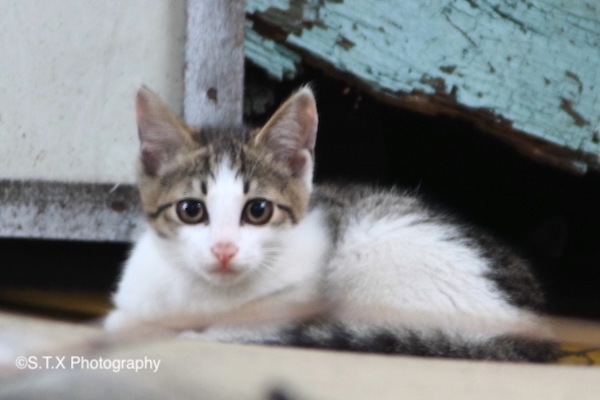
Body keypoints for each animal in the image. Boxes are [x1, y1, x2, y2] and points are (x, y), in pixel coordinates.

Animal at [105, 86, 560, 360]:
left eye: (257, 211)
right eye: (191, 210)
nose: (224, 249)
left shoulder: (293, 306)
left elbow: (252, 328)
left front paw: (197, 335)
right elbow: (119, 320)